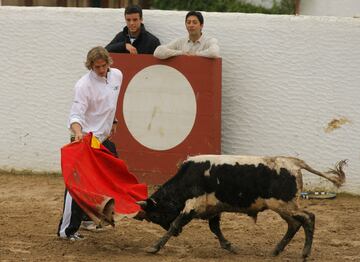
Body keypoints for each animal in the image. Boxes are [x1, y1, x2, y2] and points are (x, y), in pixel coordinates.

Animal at [136, 155, 346, 258]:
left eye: (155, 216)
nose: (179, 236)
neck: (188, 178)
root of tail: (294, 163)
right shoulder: (214, 208)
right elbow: (215, 228)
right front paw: (229, 246)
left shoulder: (193, 205)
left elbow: (175, 223)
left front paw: (154, 247)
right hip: (284, 207)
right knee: (294, 224)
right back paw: (276, 251)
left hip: (285, 205)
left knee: (308, 218)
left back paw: (305, 252)